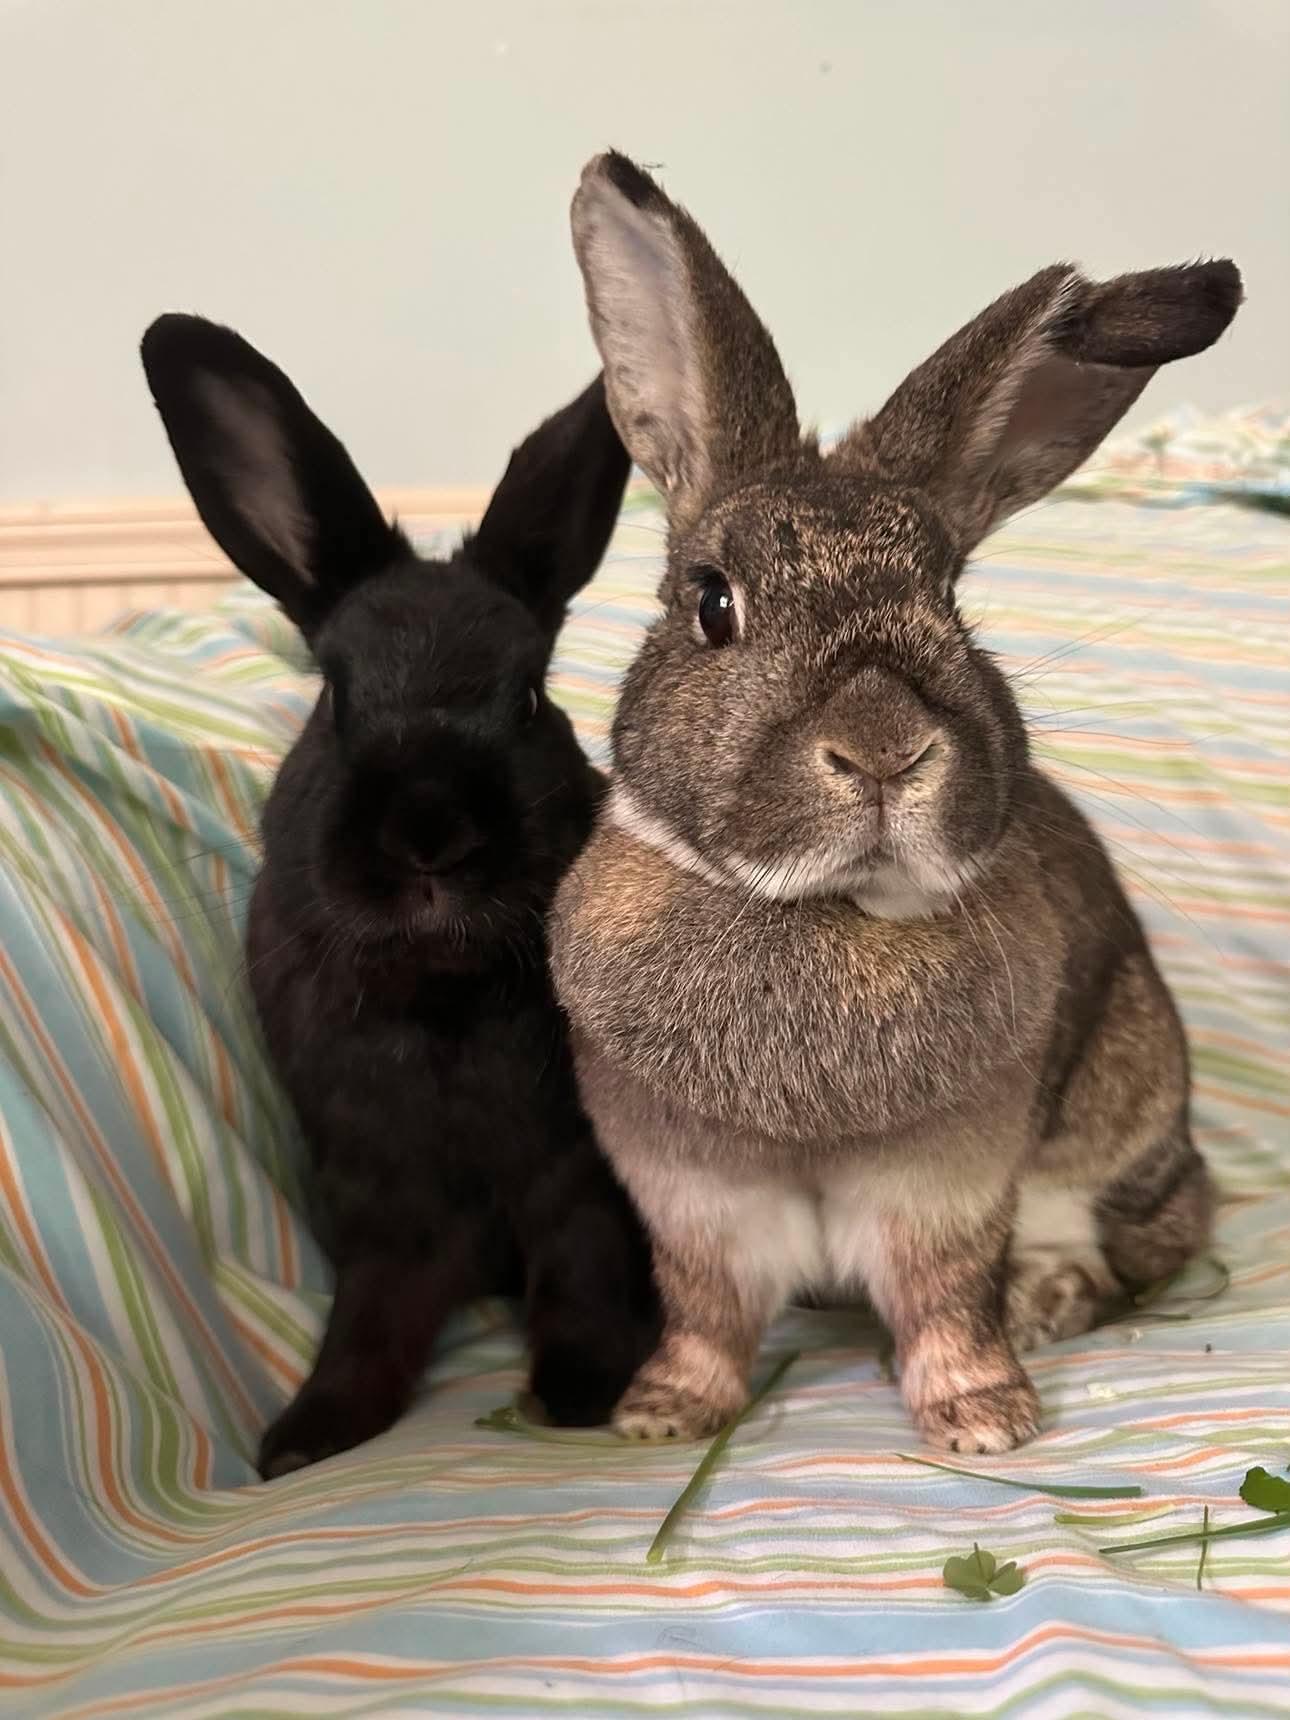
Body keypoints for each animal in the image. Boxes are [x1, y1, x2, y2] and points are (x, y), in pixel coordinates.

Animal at [141, 313, 660, 1478]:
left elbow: (581, 1274)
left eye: (530, 696)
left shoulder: (573, 1173)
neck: (442, 994)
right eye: (334, 698)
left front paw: (581, 1392)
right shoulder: (378, 1190)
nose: (431, 832)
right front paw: (306, 1439)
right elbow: (372, 1314)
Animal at [550, 150, 1242, 1454]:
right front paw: (662, 1415)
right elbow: (707, 1310)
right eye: (712, 602)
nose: (883, 750)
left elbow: (944, 1299)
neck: (826, 910)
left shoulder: (950, 1185)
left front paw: (984, 1421)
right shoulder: (692, 1197)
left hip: (1120, 1104)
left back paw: (1050, 1300)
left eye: (951, 600)